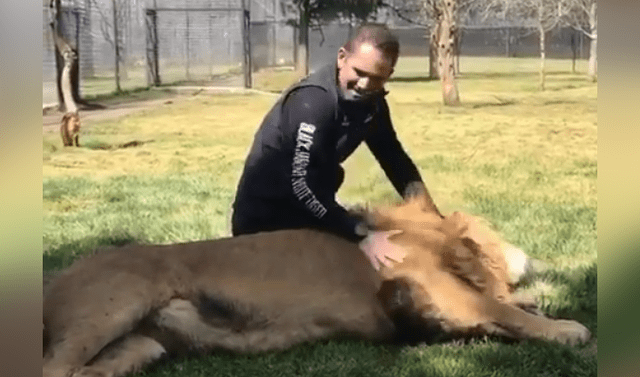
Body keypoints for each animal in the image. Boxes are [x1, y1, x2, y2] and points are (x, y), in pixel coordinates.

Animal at [41, 195, 592, 374]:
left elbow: (506, 310)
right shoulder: (441, 286)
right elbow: (502, 309)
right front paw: (568, 328)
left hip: (142, 346)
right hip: (114, 307)